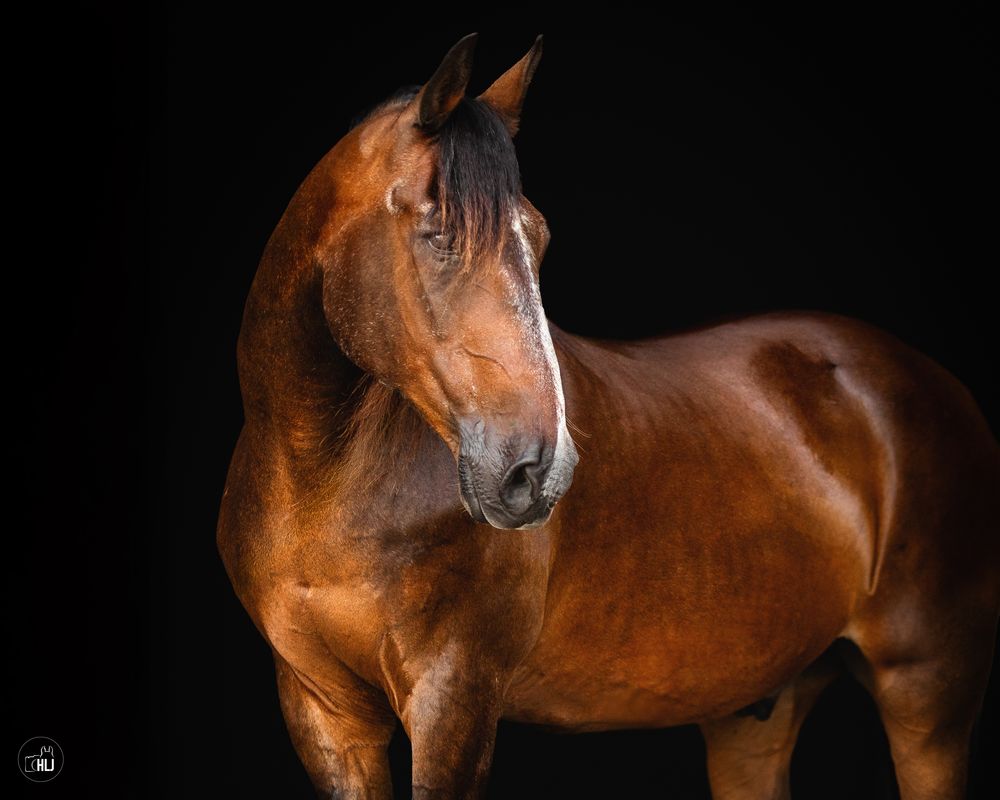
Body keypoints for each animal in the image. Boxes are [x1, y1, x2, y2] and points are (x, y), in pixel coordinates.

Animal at [217, 33, 1000, 799]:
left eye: (537, 237)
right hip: (752, 717)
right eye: (437, 231)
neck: (321, 481)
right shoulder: (326, 716)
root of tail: (938, 386)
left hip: (927, 699)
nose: (537, 471)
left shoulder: (452, 704)